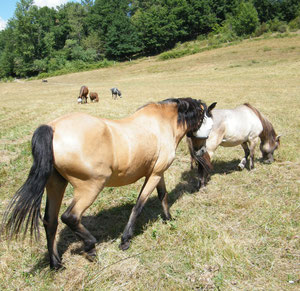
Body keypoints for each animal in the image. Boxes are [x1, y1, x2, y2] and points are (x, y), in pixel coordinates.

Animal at [1, 97, 214, 270]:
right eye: (208, 124)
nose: (202, 152)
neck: (163, 123)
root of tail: (53, 128)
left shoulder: (156, 172)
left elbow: (163, 195)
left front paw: (168, 218)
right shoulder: (153, 175)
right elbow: (139, 205)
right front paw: (125, 240)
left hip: (56, 185)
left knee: (50, 221)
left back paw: (56, 264)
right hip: (91, 187)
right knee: (70, 217)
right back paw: (90, 247)